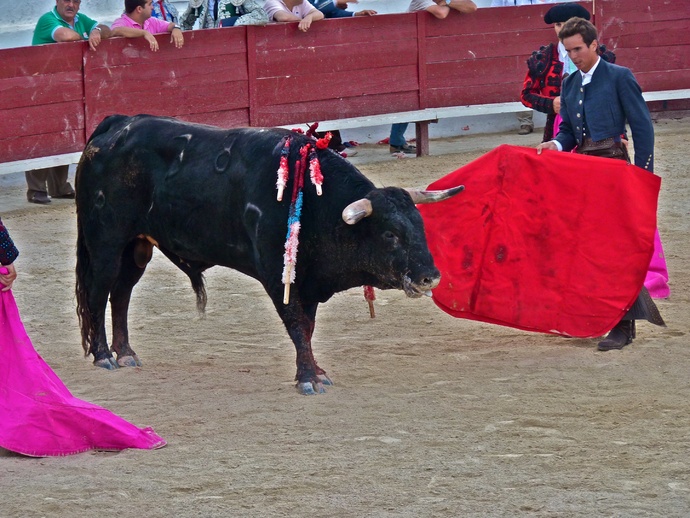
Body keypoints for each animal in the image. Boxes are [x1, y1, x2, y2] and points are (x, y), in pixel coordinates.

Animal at [75, 114, 463, 395]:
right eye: (390, 234)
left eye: (420, 226)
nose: (430, 276)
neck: (314, 203)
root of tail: (114, 126)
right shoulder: (281, 278)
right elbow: (296, 325)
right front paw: (308, 379)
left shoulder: (307, 281)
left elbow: (308, 326)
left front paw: (315, 371)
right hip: (106, 242)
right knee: (98, 291)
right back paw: (104, 356)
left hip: (137, 246)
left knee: (121, 293)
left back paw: (126, 354)